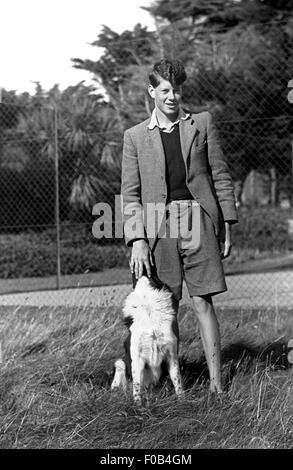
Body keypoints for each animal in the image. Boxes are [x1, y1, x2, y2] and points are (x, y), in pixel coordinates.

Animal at [111, 272, 182, 404]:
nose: (144, 271)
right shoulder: (137, 358)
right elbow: (137, 386)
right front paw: (138, 405)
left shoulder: (171, 355)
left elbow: (177, 381)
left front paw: (182, 401)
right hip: (120, 363)